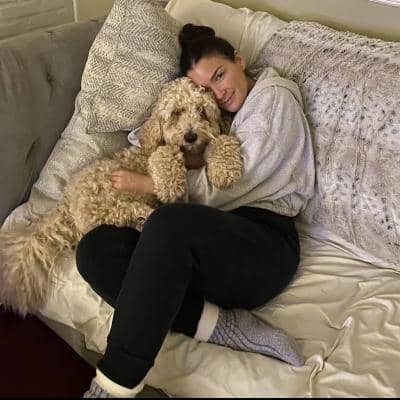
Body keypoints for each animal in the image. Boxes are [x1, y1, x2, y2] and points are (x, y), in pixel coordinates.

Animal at [0, 77, 243, 316]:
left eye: (202, 111)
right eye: (176, 113)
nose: (190, 135)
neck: (191, 155)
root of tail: (65, 204)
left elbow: (223, 140)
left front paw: (225, 169)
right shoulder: (157, 154)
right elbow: (164, 154)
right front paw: (171, 184)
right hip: (102, 200)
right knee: (123, 212)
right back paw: (146, 216)